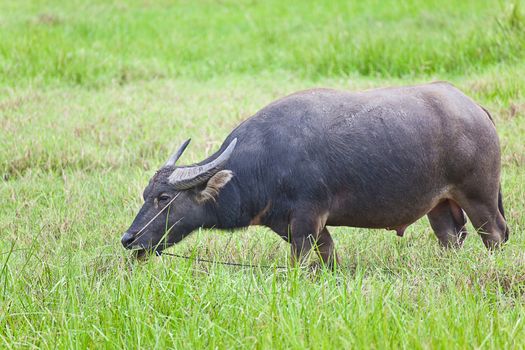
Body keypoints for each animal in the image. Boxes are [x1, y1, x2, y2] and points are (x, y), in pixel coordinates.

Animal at [121, 82, 506, 266]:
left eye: (164, 197)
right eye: (144, 195)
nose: (129, 239)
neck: (263, 163)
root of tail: (475, 109)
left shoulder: (307, 221)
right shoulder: (300, 227)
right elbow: (329, 259)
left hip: (480, 197)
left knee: (495, 235)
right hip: (438, 205)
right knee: (450, 237)